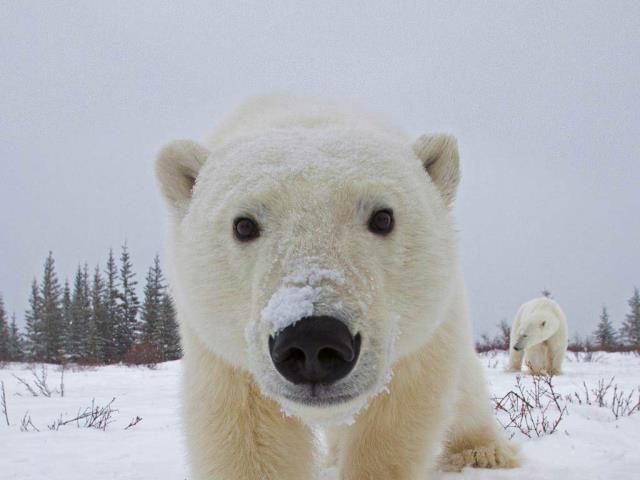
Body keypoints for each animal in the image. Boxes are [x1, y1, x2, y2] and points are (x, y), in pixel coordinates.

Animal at [155, 95, 519, 480]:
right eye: (243, 225)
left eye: (383, 217)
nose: (313, 341)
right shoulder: (222, 353)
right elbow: (249, 433)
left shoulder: (417, 340)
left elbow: (394, 421)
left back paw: (482, 452)